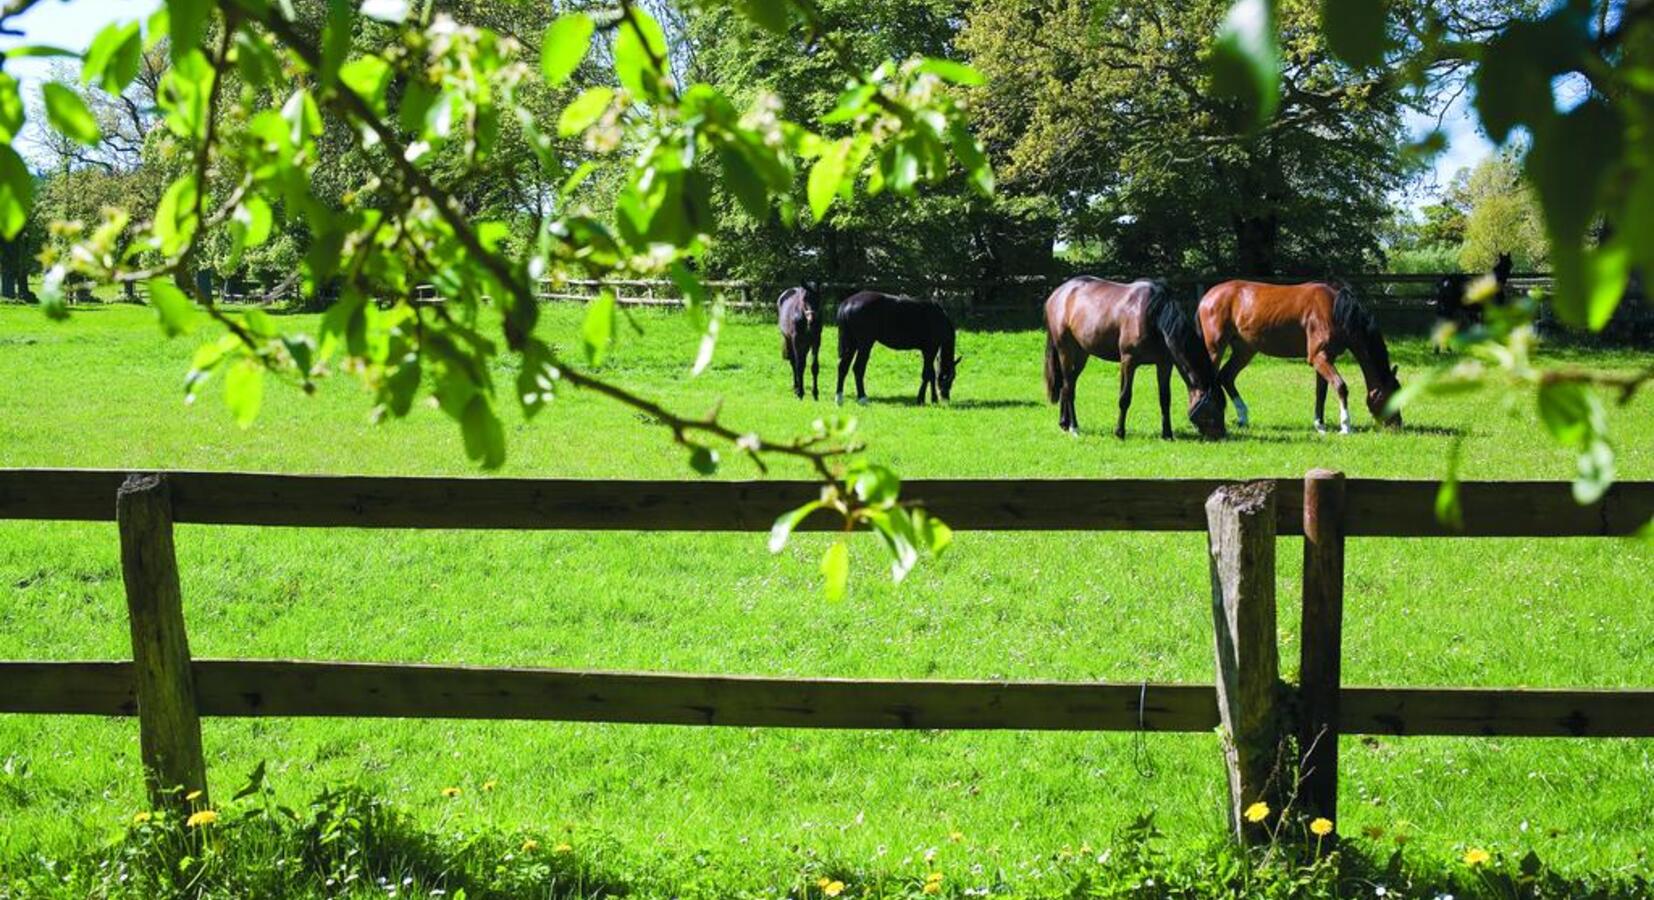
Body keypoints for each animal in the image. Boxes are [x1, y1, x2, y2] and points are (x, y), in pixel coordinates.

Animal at [833, 291, 965, 403]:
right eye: (951, 378)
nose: (945, 397)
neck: (939, 318)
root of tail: (848, 303)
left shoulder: (926, 351)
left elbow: (931, 374)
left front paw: (933, 399)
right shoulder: (931, 349)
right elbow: (927, 374)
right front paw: (921, 399)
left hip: (851, 344)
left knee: (842, 367)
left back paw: (839, 398)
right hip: (864, 345)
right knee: (858, 368)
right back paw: (862, 397)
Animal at [1045, 277, 1230, 440]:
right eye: (1215, 407)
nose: (1222, 435)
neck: (1153, 316)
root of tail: (1057, 294)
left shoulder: (1164, 364)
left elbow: (1165, 399)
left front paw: (1167, 434)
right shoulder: (1129, 362)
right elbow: (1125, 398)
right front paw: (1119, 433)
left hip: (1081, 354)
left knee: (1066, 386)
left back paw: (1064, 423)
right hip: (1066, 351)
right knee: (1068, 387)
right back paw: (1073, 427)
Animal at [1197, 281, 1402, 436]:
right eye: (1391, 396)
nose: (1398, 425)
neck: (1335, 310)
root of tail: (1208, 297)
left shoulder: (1326, 359)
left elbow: (1321, 393)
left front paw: (1320, 425)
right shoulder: (1319, 358)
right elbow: (1340, 386)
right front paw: (1345, 427)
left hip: (1244, 351)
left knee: (1226, 377)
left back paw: (1242, 417)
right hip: (1215, 348)